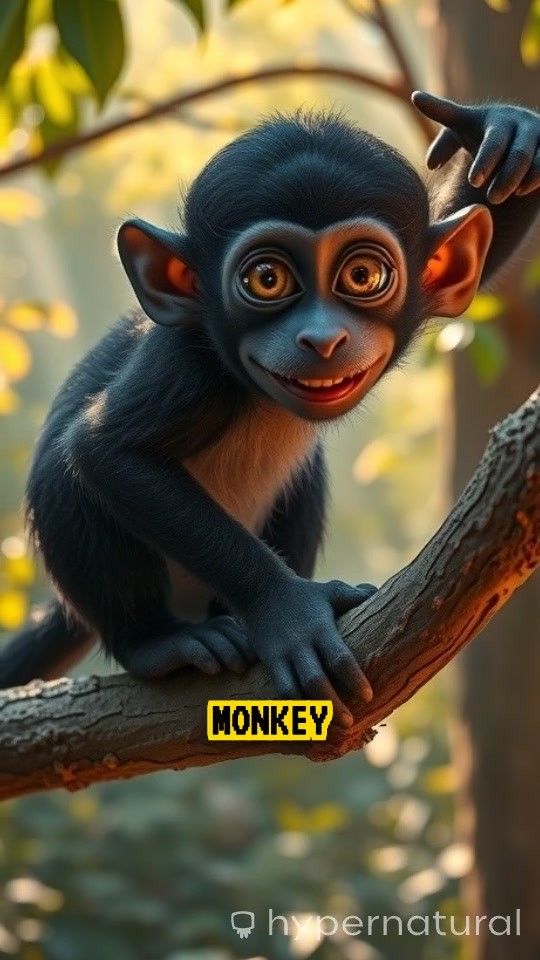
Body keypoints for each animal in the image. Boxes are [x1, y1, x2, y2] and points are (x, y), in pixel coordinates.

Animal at [0, 92, 538, 726]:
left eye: (363, 275)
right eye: (266, 278)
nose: (322, 339)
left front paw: (508, 134)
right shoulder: (186, 368)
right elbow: (106, 450)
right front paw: (287, 609)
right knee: (65, 482)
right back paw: (157, 644)